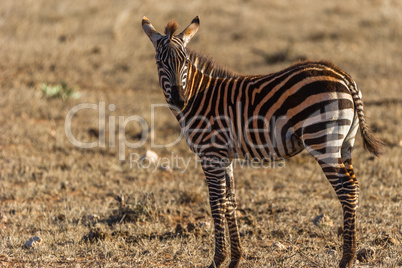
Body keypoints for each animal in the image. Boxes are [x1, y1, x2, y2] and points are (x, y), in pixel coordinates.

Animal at [141, 15, 384, 266]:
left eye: (186, 62)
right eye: (160, 63)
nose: (180, 100)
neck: (199, 96)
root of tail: (343, 75)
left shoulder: (211, 153)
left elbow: (216, 203)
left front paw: (218, 259)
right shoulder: (224, 156)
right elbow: (230, 201)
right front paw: (235, 258)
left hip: (322, 141)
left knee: (347, 188)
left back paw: (347, 258)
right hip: (345, 143)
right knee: (354, 186)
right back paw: (350, 254)